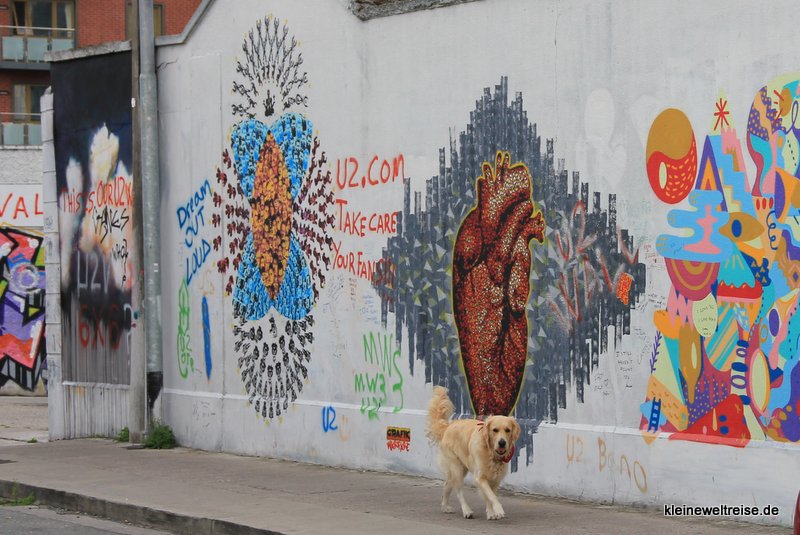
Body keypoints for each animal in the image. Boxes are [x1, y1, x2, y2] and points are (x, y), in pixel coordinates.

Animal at [426, 386, 520, 520]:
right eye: (495, 430)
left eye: (508, 430)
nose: (502, 443)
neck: (491, 453)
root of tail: (448, 426)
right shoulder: (480, 477)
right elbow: (491, 496)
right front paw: (498, 510)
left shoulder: (495, 479)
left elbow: (489, 495)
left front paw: (491, 512)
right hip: (456, 468)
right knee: (458, 491)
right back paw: (466, 510)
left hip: (457, 469)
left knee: (447, 485)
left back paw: (445, 506)